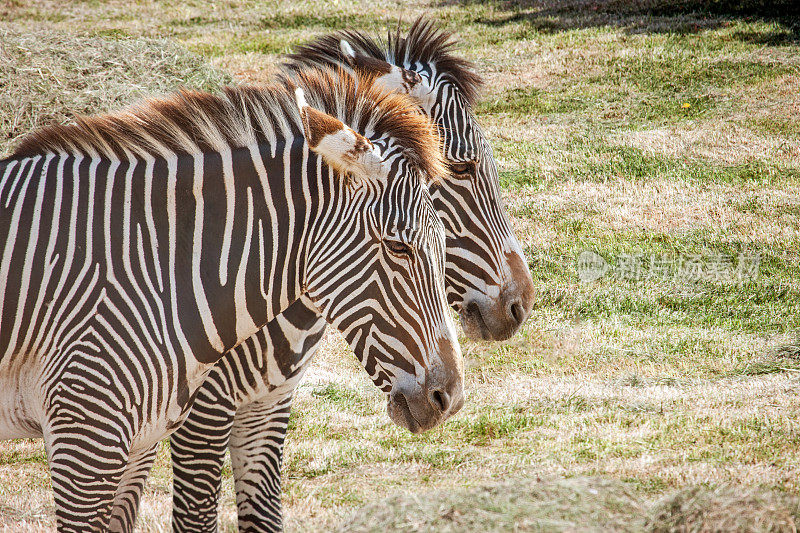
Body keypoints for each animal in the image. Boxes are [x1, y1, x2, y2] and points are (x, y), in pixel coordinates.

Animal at [0, 66, 462, 532]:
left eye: (444, 242)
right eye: (398, 247)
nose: (451, 399)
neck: (157, 266)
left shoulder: (174, 432)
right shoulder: (88, 436)